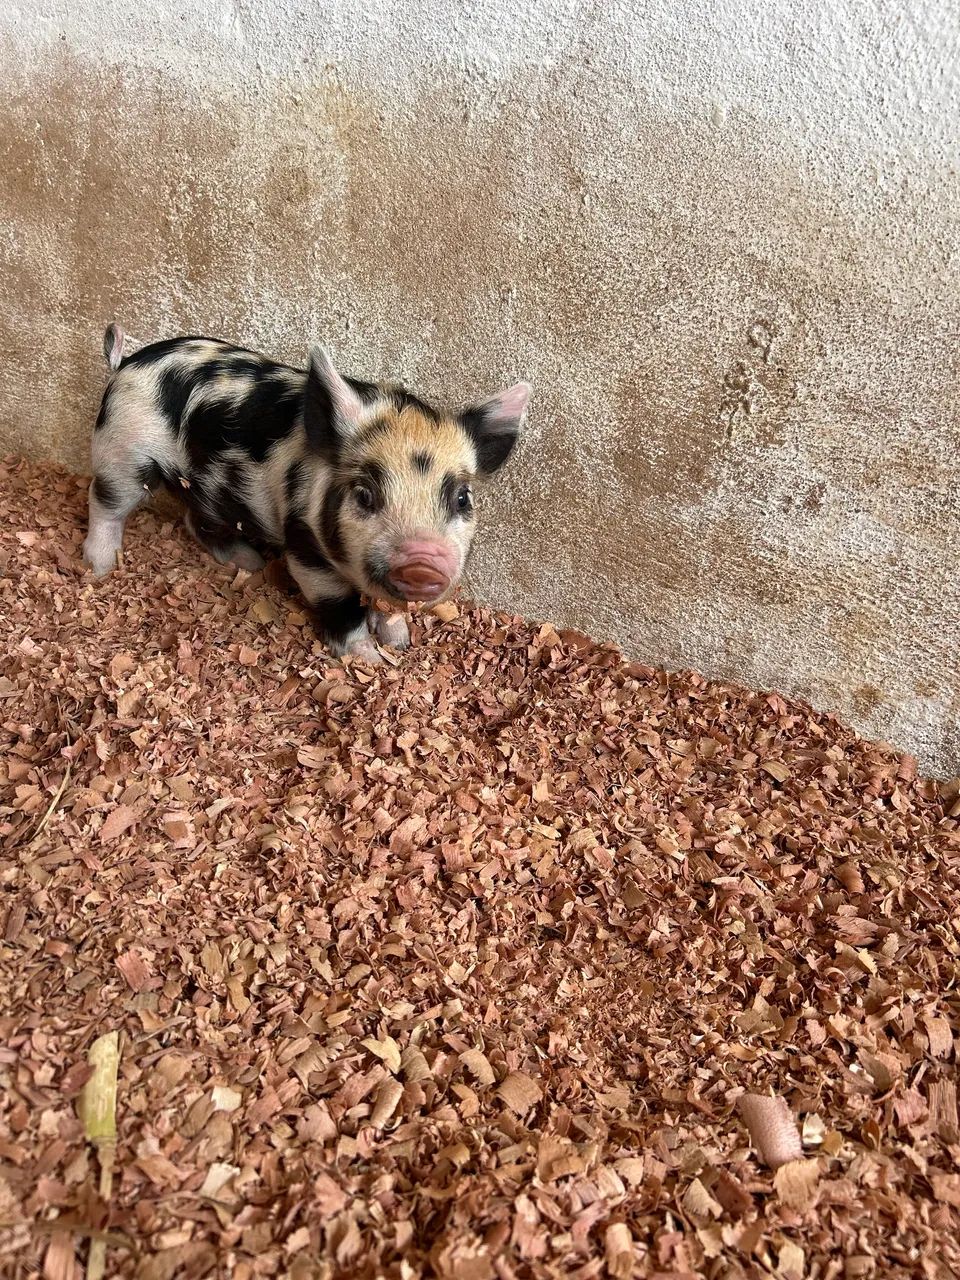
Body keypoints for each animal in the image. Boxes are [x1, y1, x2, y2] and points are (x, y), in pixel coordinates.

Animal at [83, 324, 531, 661]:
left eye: (462, 498)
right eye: (364, 494)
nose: (422, 564)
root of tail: (125, 363)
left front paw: (400, 642)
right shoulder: (306, 547)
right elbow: (340, 607)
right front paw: (368, 659)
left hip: (207, 489)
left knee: (197, 521)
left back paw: (249, 562)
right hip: (122, 453)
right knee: (104, 502)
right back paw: (100, 567)